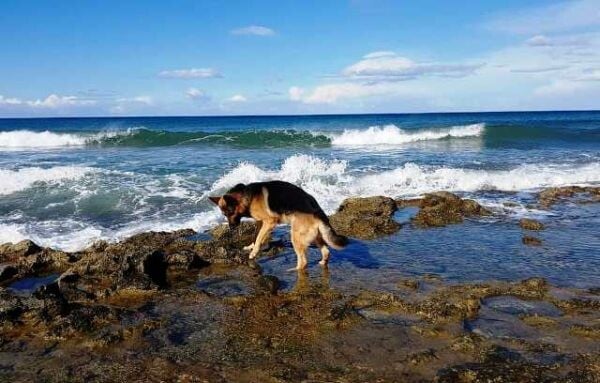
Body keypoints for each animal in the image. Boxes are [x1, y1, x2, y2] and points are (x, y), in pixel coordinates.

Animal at [209, 182, 346, 270]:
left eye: (230, 212)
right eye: (224, 214)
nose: (231, 227)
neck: (247, 196)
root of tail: (317, 213)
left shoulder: (269, 221)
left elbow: (259, 237)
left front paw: (254, 252)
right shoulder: (261, 222)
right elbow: (256, 236)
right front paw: (251, 247)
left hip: (296, 237)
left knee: (303, 262)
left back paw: (294, 270)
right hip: (316, 237)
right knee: (326, 251)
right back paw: (322, 262)